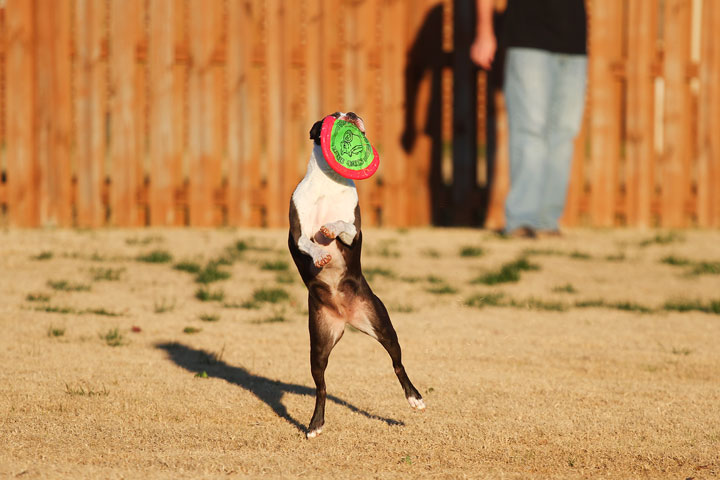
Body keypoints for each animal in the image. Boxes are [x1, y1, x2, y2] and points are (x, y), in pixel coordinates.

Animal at [288, 110, 424, 436]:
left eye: (349, 114)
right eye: (331, 116)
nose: (349, 114)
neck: (329, 181)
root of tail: (346, 317)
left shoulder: (354, 232)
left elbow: (342, 225)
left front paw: (329, 230)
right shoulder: (297, 233)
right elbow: (306, 243)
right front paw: (320, 254)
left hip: (382, 324)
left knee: (397, 364)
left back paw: (414, 398)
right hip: (319, 341)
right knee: (321, 386)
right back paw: (315, 425)